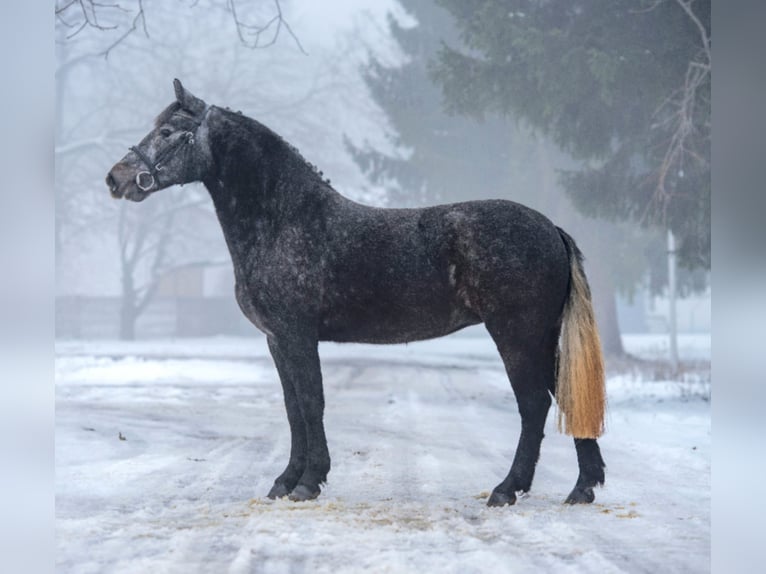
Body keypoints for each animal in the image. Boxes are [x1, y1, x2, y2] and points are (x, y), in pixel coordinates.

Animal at [106, 79, 606, 506]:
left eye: (168, 131)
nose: (117, 178)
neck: (284, 219)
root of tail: (550, 229)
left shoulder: (297, 335)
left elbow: (312, 403)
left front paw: (309, 482)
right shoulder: (276, 340)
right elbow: (293, 407)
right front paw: (285, 480)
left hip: (516, 335)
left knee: (533, 405)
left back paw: (507, 489)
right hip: (540, 337)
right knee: (564, 397)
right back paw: (582, 488)